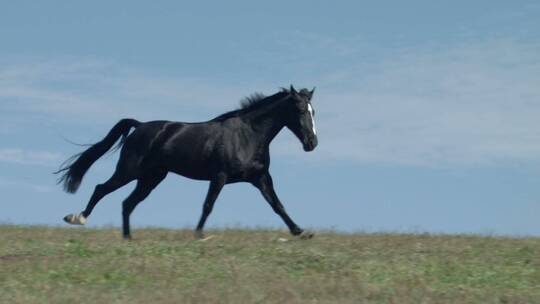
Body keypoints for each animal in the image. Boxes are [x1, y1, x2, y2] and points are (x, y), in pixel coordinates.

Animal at [56, 85, 316, 240]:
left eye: (314, 111)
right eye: (300, 109)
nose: (312, 143)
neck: (248, 135)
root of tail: (139, 126)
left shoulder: (260, 177)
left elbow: (277, 205)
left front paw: (300, 231)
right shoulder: (219, 176)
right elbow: (208, 205)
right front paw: (198, 234)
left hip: (151, 178)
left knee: (127, 203)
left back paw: (128, 239)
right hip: (129, 171)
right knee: (101, 189)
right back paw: (77, 218)